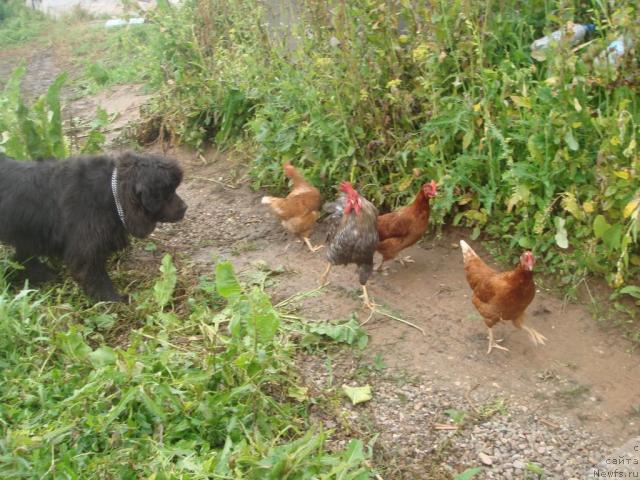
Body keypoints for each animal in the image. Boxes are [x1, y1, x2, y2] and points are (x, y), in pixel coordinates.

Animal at [0, 151, 188, 300]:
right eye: (168, 191)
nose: (185, 207)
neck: (111, 194)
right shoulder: (86, 251)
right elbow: (97, 278)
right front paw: (113, 300)